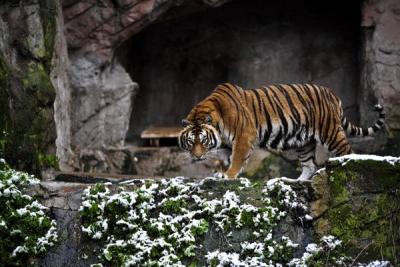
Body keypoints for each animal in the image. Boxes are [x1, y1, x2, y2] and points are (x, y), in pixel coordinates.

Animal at [178, 82, 384, 181]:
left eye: (203, 140)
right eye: (191, 141)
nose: (197, 157)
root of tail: (332, 94)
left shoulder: (244, 136)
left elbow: (237, 159)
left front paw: (229, 175)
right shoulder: (227, 144)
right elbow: (224, 158)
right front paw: (221, 172)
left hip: (330, 131)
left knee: (347, 151)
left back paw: (348, 164)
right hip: (304, 141)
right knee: (309, 166)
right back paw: (295, 181)